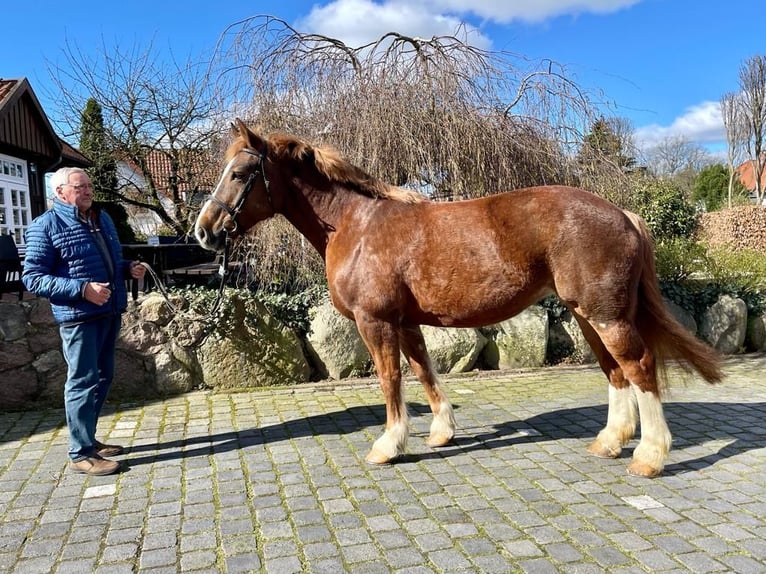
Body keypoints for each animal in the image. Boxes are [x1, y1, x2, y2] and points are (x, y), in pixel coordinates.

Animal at [195, 120, 724, 476]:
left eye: (240, 173)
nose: (204, 231)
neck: (356, 223)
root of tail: (622, 214)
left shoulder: (376, 321)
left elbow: (390, 380)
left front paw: (388, 445)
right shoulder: (406, 322)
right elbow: (424, 372)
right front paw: (440, 432)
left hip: (605, 316)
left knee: (640, 368)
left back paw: (649, 456)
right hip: (587, 315)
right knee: (615, 373)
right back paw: (610, 442)